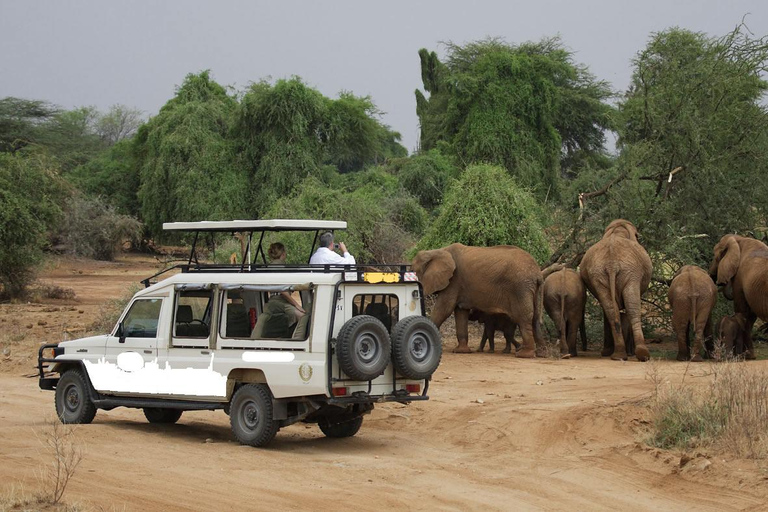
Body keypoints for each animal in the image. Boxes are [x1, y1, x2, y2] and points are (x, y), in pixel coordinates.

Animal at [412, 243, 544, 356]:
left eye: (413, 272)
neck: (436, 251)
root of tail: (538, 273)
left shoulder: (454, 281)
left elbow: (444, 309)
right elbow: (460, 312)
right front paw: (461, 351)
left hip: (520, 288)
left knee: (523, 317)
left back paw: (524, 354)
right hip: (531, 289)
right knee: (535, 318)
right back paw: (541, 353)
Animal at [580, 219, 652, 360]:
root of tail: (611, 263)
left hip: (599, 275)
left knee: (611, 311)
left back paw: (619, 355)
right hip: (631, 273)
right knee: (633, 308)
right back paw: (641, 355)